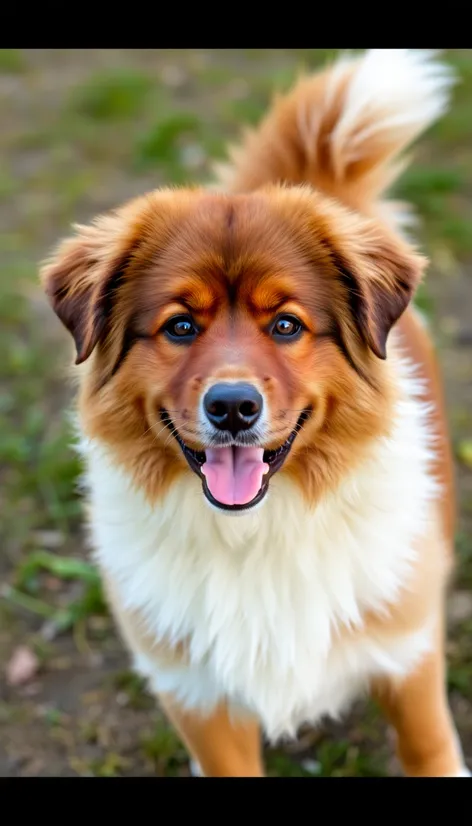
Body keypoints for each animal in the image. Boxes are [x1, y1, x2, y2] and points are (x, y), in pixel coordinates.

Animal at [39, 50, 468, 772]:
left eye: (287, 325)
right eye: (181, 326)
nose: (234, 407)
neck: (255, 532)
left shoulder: (407, 651)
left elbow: (429, 747)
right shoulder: (197, 697)